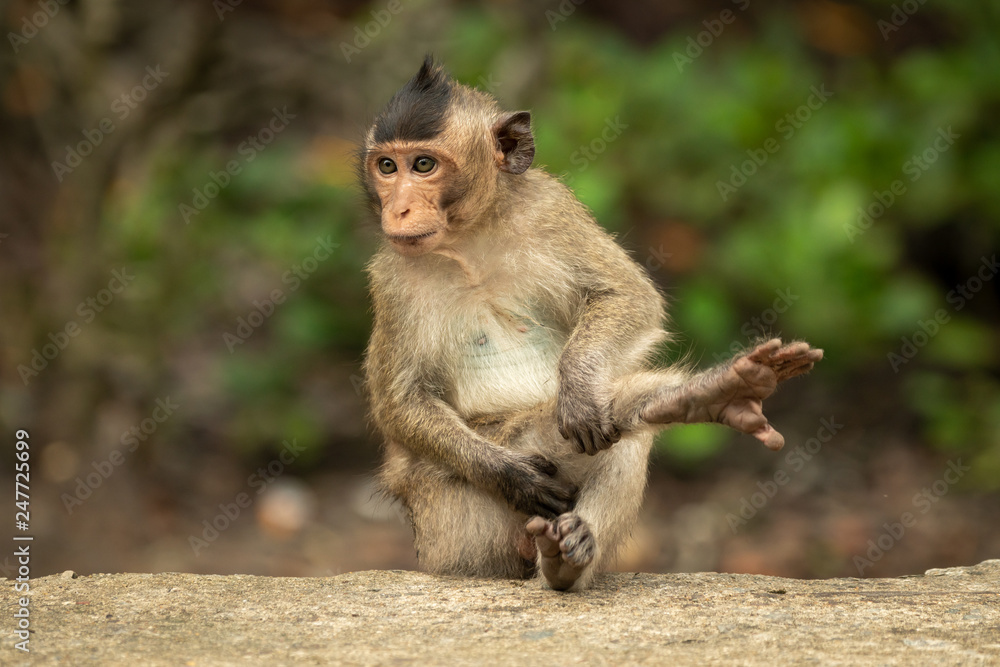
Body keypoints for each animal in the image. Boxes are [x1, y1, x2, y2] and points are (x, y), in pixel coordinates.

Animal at [359, 56, 823, 591]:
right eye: (387, 167)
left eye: (423, 165)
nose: (399, 208)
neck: (469, 239)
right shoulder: (390, 280)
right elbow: (400, 402)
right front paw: (510, 475)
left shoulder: (550, 210)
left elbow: (628, 298)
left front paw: (578, 387)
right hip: (453, 525)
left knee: (619, 434)